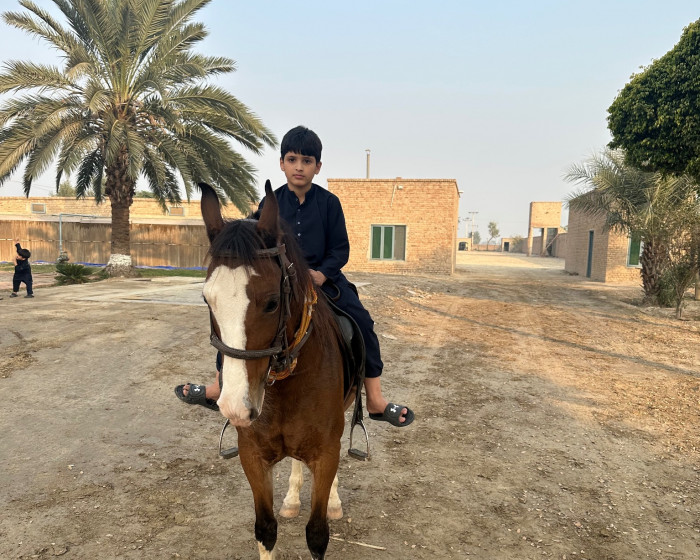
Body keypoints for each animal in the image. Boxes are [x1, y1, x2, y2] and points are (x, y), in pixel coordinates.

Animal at [199, 180, 363, 559]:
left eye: (272, 302)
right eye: (207, 300)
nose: (236, 406)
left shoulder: (326, 452)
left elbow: (317, 532)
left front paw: (328, 504)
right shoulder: (252, 456)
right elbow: (265, 529)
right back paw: (291, 498)